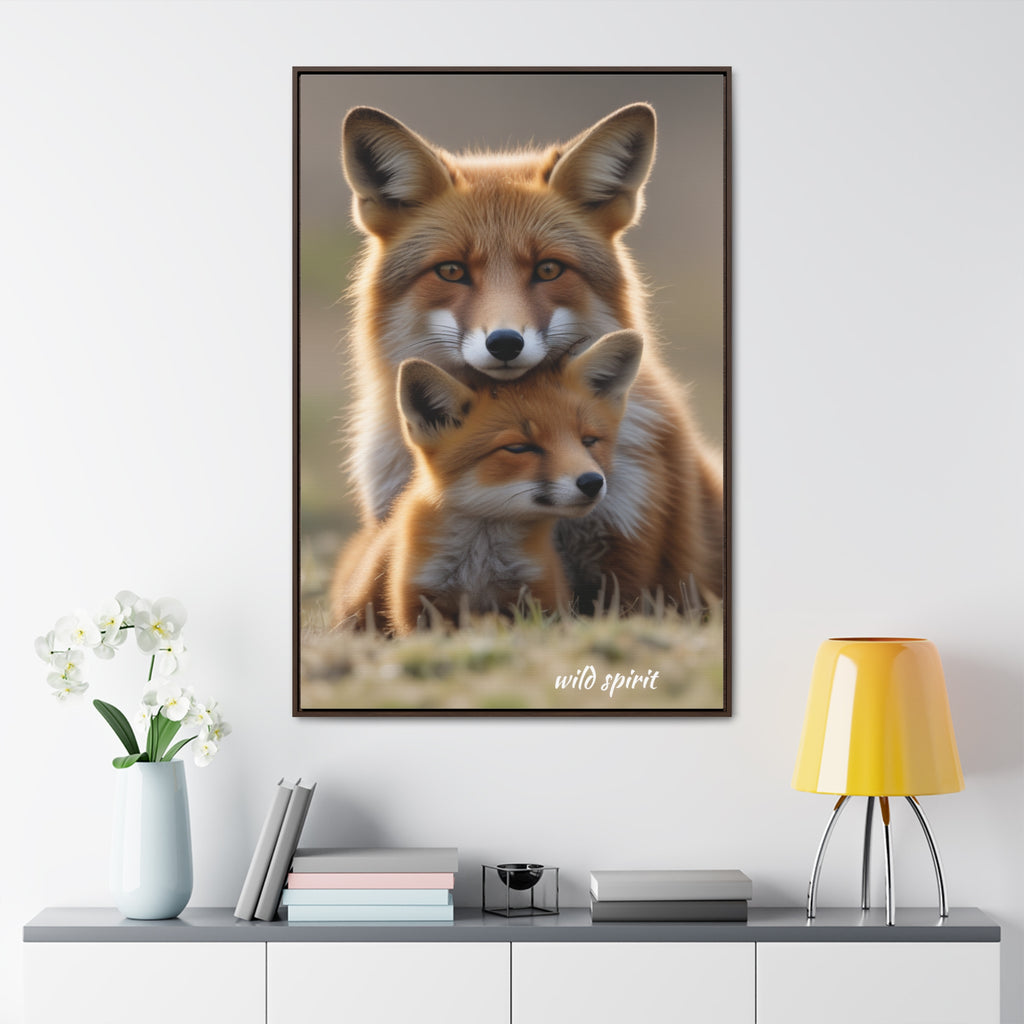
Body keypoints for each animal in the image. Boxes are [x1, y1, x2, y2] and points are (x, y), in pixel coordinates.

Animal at [330, 330, 643, 635]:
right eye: (519, 448)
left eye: (588, 441)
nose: (592, 482)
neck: (479, 566)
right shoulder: (418, 603)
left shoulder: (540, 595)